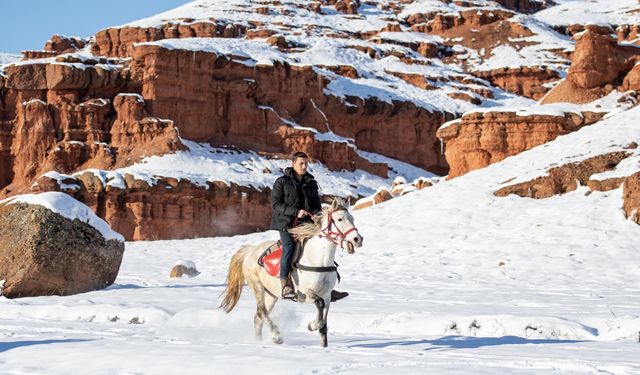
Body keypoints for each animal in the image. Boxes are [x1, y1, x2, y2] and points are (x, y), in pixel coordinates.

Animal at [220, 198, 362, 348]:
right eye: (339, 219)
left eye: (352, 218)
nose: (358, 239)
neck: (318, 259)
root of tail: (250, 251)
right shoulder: (305, 293)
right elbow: (319, 304)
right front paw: (312, 325)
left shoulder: (327, 295)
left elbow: (324, 324)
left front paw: (323, 345)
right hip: (257, 287)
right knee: (263, 312)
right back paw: (276, 336)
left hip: (271, 295)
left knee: (258, 317)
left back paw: (258, 341)